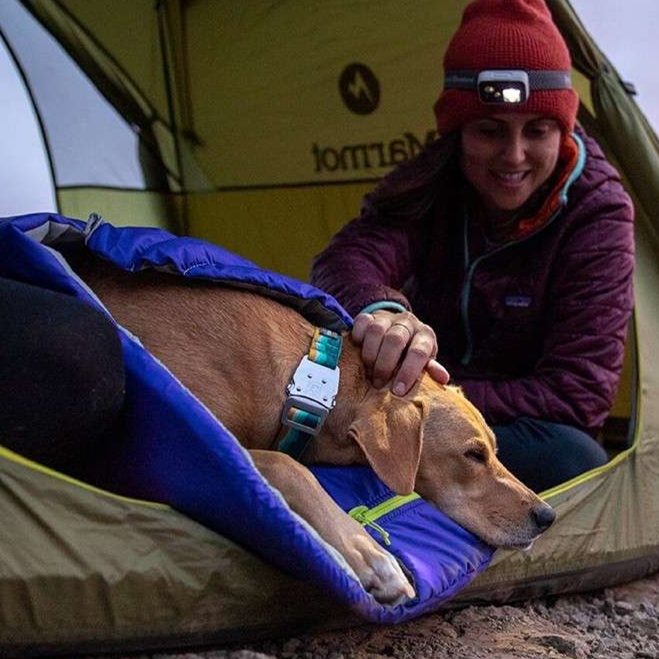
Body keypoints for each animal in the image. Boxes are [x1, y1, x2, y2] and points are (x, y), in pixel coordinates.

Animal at [69, 254, 556, 608]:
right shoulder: (208, 428)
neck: (313, 379)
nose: (547, 516)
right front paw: (368, 555)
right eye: (472, 455)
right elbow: (291, 467)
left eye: (495, 449)